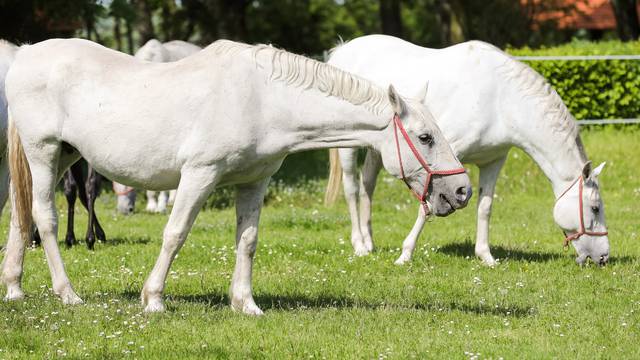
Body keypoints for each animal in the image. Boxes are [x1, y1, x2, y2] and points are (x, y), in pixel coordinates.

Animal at [2, 38, 472, 312]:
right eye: (426, 137)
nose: (462, 190)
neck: (263, 97)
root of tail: (24, 55)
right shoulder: (199, 175)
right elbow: (175, 234)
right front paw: (153, 299)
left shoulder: (253, 183)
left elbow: (247, 241)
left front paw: (245, 304)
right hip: (44, 153)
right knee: (43, 218)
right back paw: (67, 294)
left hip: (64, 156)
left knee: (20, 218)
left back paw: (14, 288)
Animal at [324, 35, 608, 268]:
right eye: (595, 208)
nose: (604, 257)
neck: (501, 100)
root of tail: (342, 50)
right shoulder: (442, 161)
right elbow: (426, 206)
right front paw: (405, 254)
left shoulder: (493, 161)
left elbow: (485, 207)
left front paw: (486, 256)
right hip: (347, 147)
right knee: (352, 189)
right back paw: (359, 245)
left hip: (381, 149)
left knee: (367, 185)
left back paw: (370, 242)